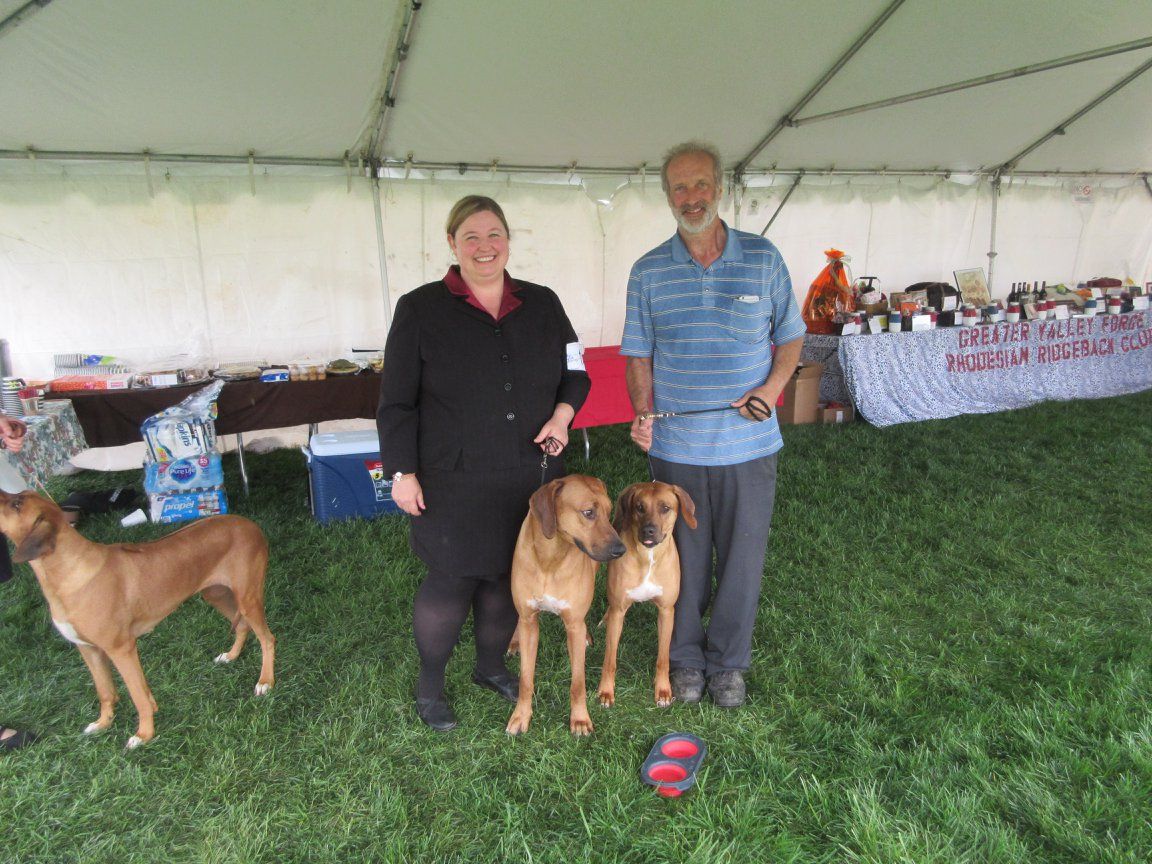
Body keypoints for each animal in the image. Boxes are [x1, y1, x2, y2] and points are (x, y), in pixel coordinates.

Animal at [0, 493, 274, 751]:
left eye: (16, 503)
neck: (69, 572)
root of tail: (250, 524)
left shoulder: (121, 649)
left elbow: (138, 696)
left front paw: (144, 735)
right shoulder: (88, 649)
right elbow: (106, 692)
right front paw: (103, 723)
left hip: (247, 598)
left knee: (267, 638)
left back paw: (265, 681)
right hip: (215, 593)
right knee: (242, 625)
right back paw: (232, 655)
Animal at [509, 476, 626, 732]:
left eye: (608, 511)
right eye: (589, 512)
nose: (621, 550)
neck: (550, 557)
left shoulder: (573, 623)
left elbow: (578, 683)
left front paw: (580, 719)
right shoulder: (529, 620)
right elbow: (525, 679)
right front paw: (521, 716)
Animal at [599, 481, 695, 709]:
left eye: (666, 508)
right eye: (639, 507)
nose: (649, 530)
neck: (648, 557)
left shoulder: (667, 611)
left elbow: (663, 658)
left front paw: (663, 690)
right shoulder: (619, 611)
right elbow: (610, 659)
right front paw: (606, 692)